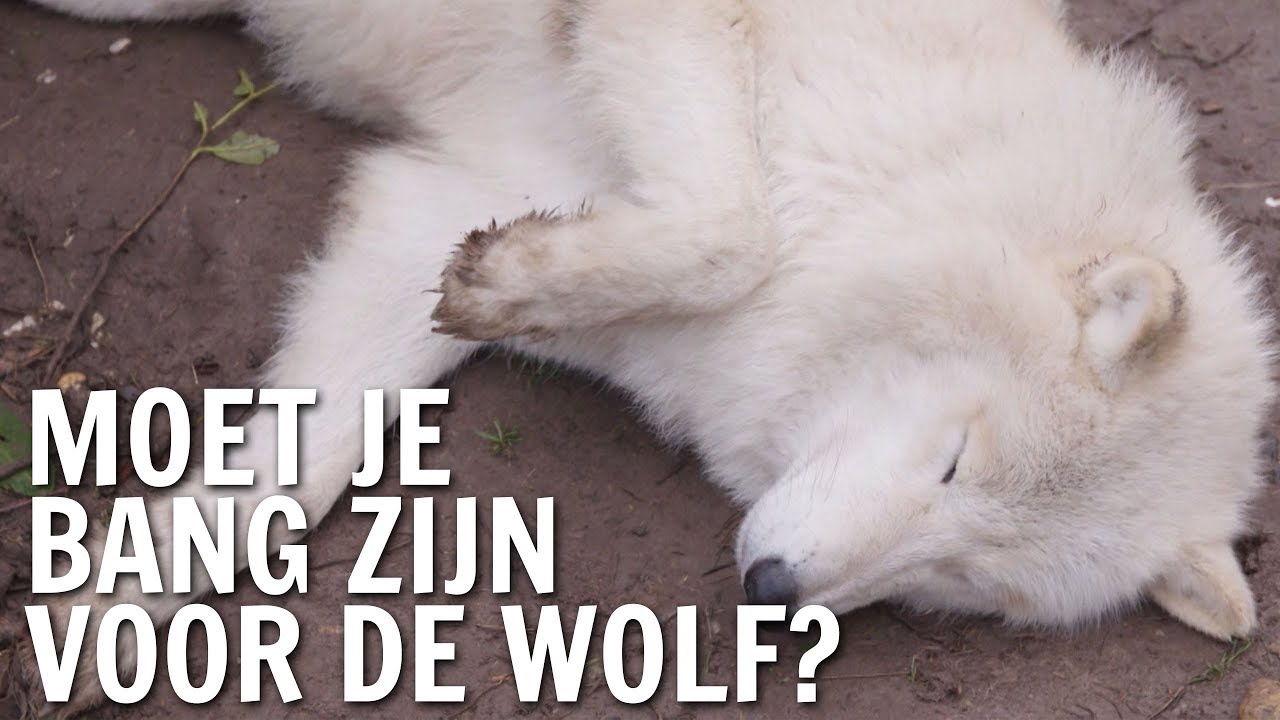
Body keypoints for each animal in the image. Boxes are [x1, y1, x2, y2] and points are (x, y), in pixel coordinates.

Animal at [7, 0, 1276, 715]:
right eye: (955, 463)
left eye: (970, 584)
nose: (772, 591)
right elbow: (725, 230)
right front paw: (520, 280)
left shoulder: (434, 211)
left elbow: (291, 472)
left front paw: (105, 621)